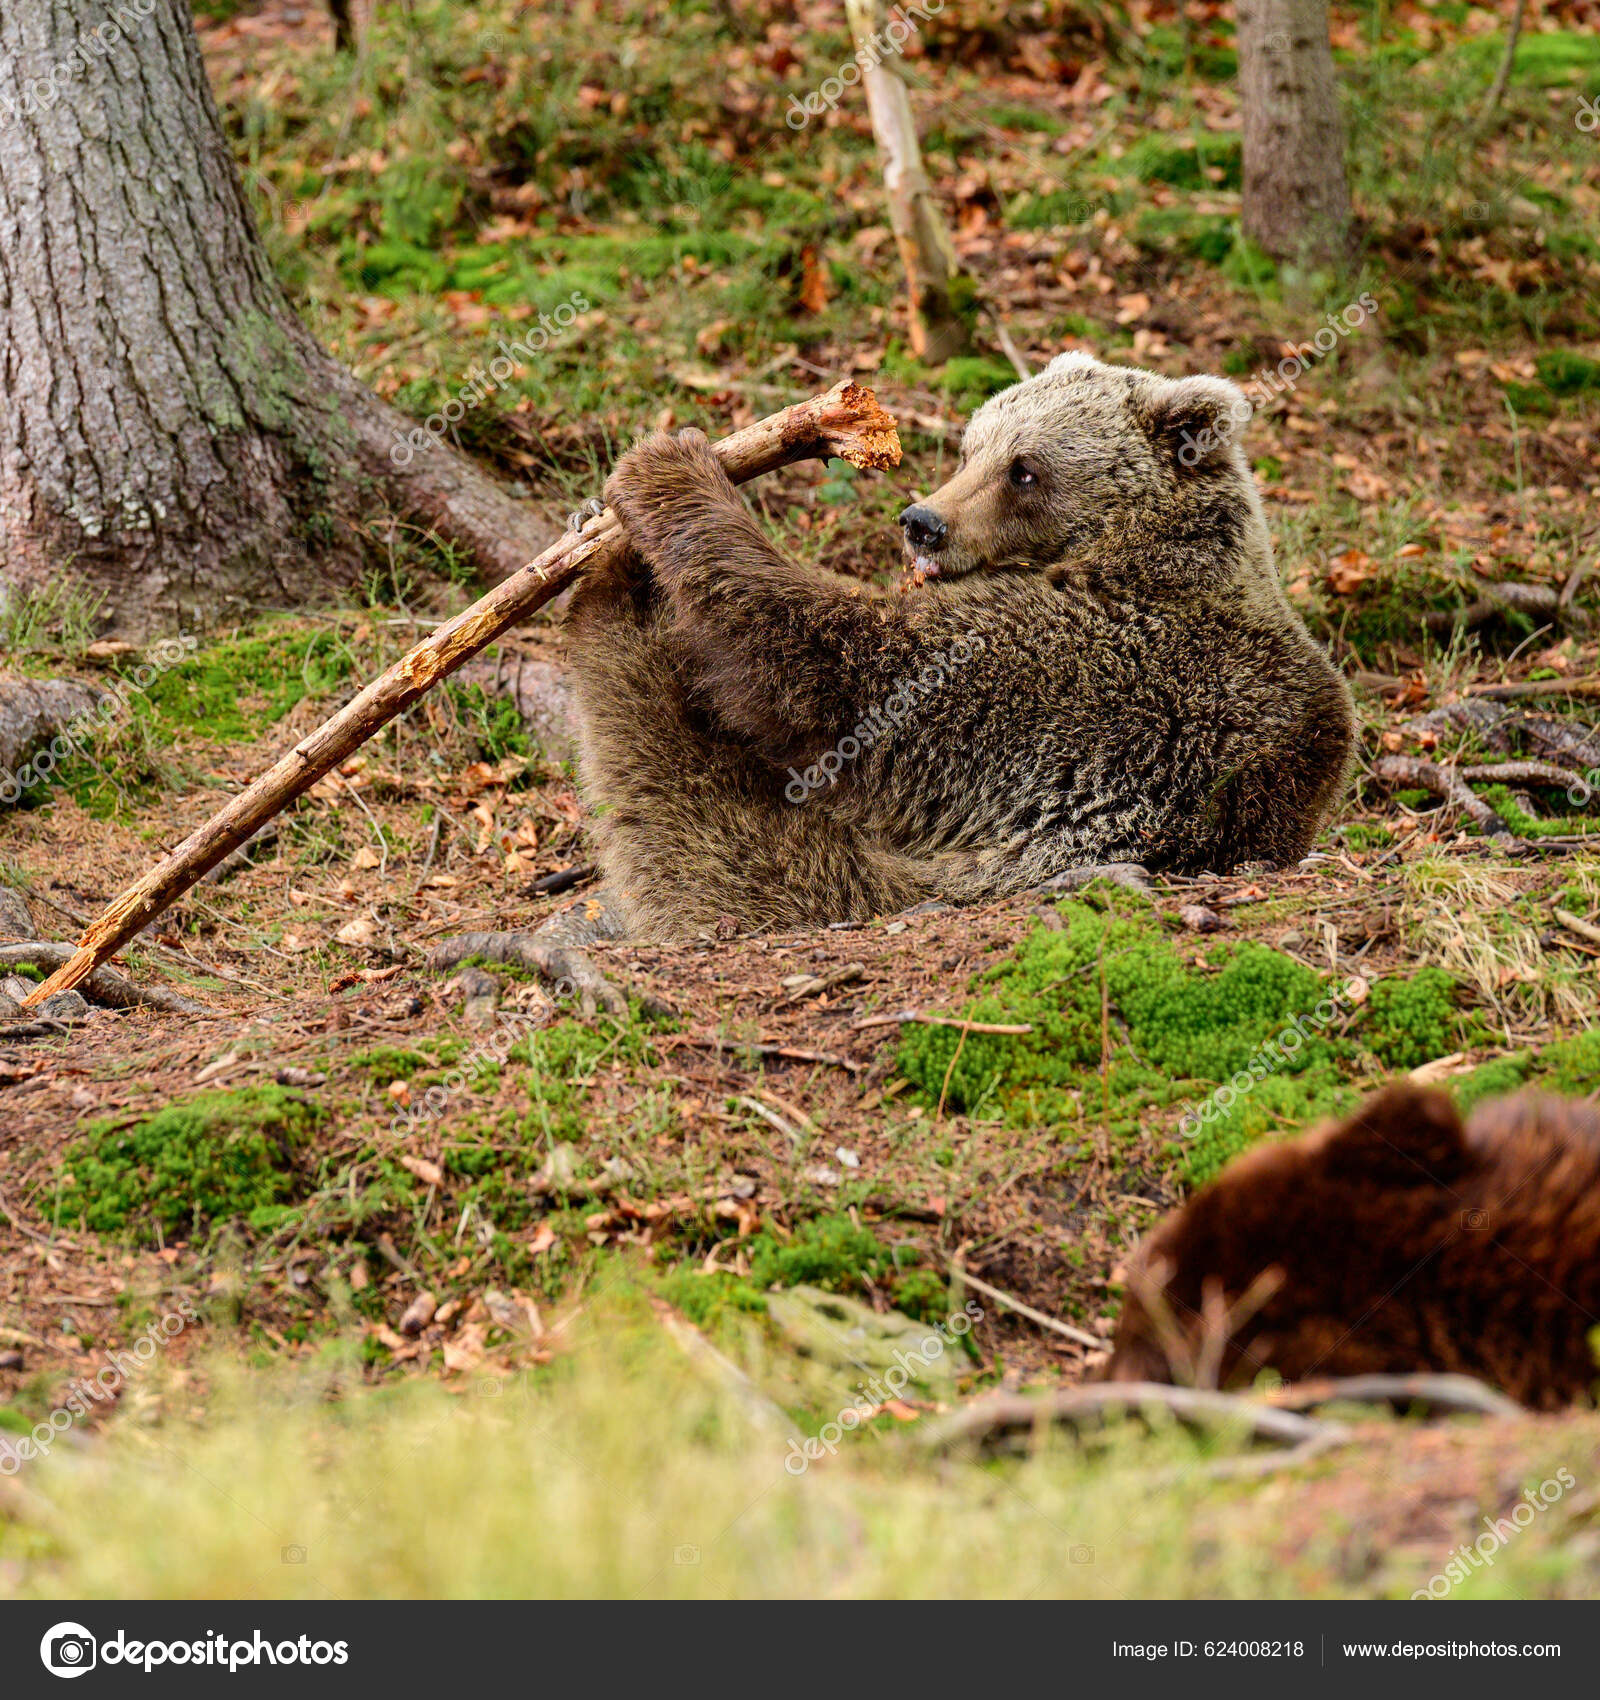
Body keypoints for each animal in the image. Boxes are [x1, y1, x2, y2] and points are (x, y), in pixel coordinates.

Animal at [561, 350, 1346, 938]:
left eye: (1026, 469)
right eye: (970, 448)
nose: (923, 522)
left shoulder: (1088, 676)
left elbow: (842, 680)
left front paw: (668, 470)